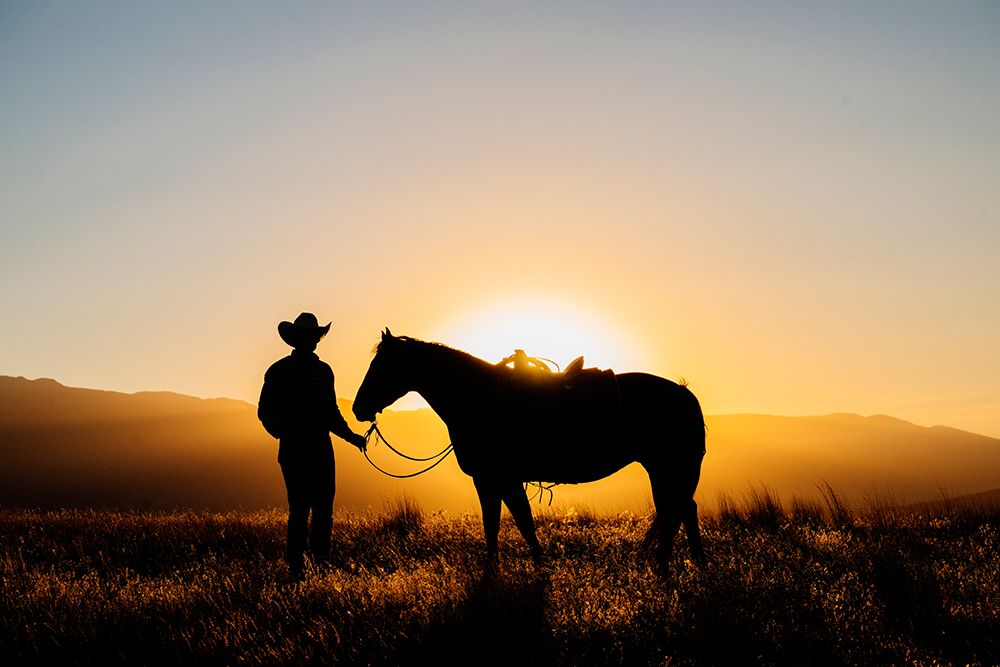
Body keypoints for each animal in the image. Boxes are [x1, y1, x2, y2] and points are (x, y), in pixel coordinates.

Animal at [353, 329, 707, 570]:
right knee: (681, 510)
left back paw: (665, 567)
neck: (479, 400)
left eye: (387, 365)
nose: (358, 407)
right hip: (667, 469)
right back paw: (689, 565)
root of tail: (684, 394)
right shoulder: (497, 481)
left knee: (676, 510)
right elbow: (507, 525)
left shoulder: (495, 479)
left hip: (667, 467)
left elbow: (512, 524)